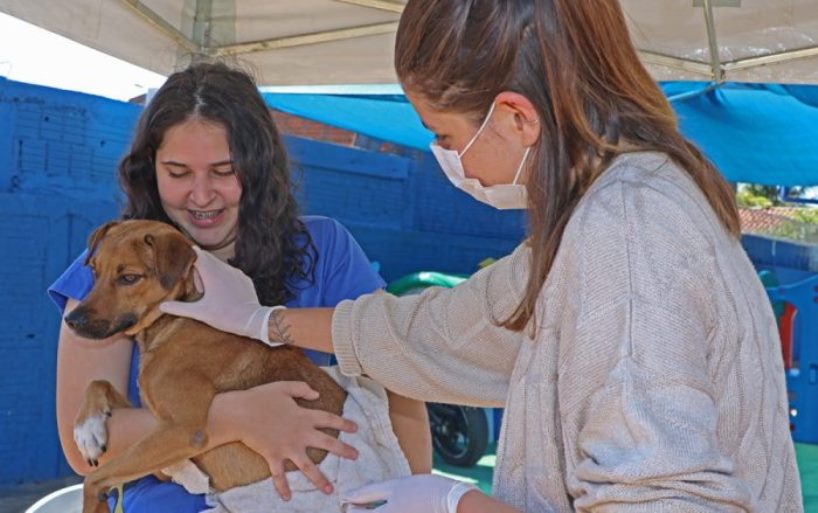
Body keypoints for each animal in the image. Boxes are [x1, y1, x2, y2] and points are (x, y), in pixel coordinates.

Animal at [64, 219, 344, 512]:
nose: (71, 321)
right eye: (94, 271)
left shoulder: (183, 431)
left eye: (129, 277)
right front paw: (87, 429)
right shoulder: (167, 459)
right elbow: (98, 382)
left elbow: (93, 479)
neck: (174, 319)